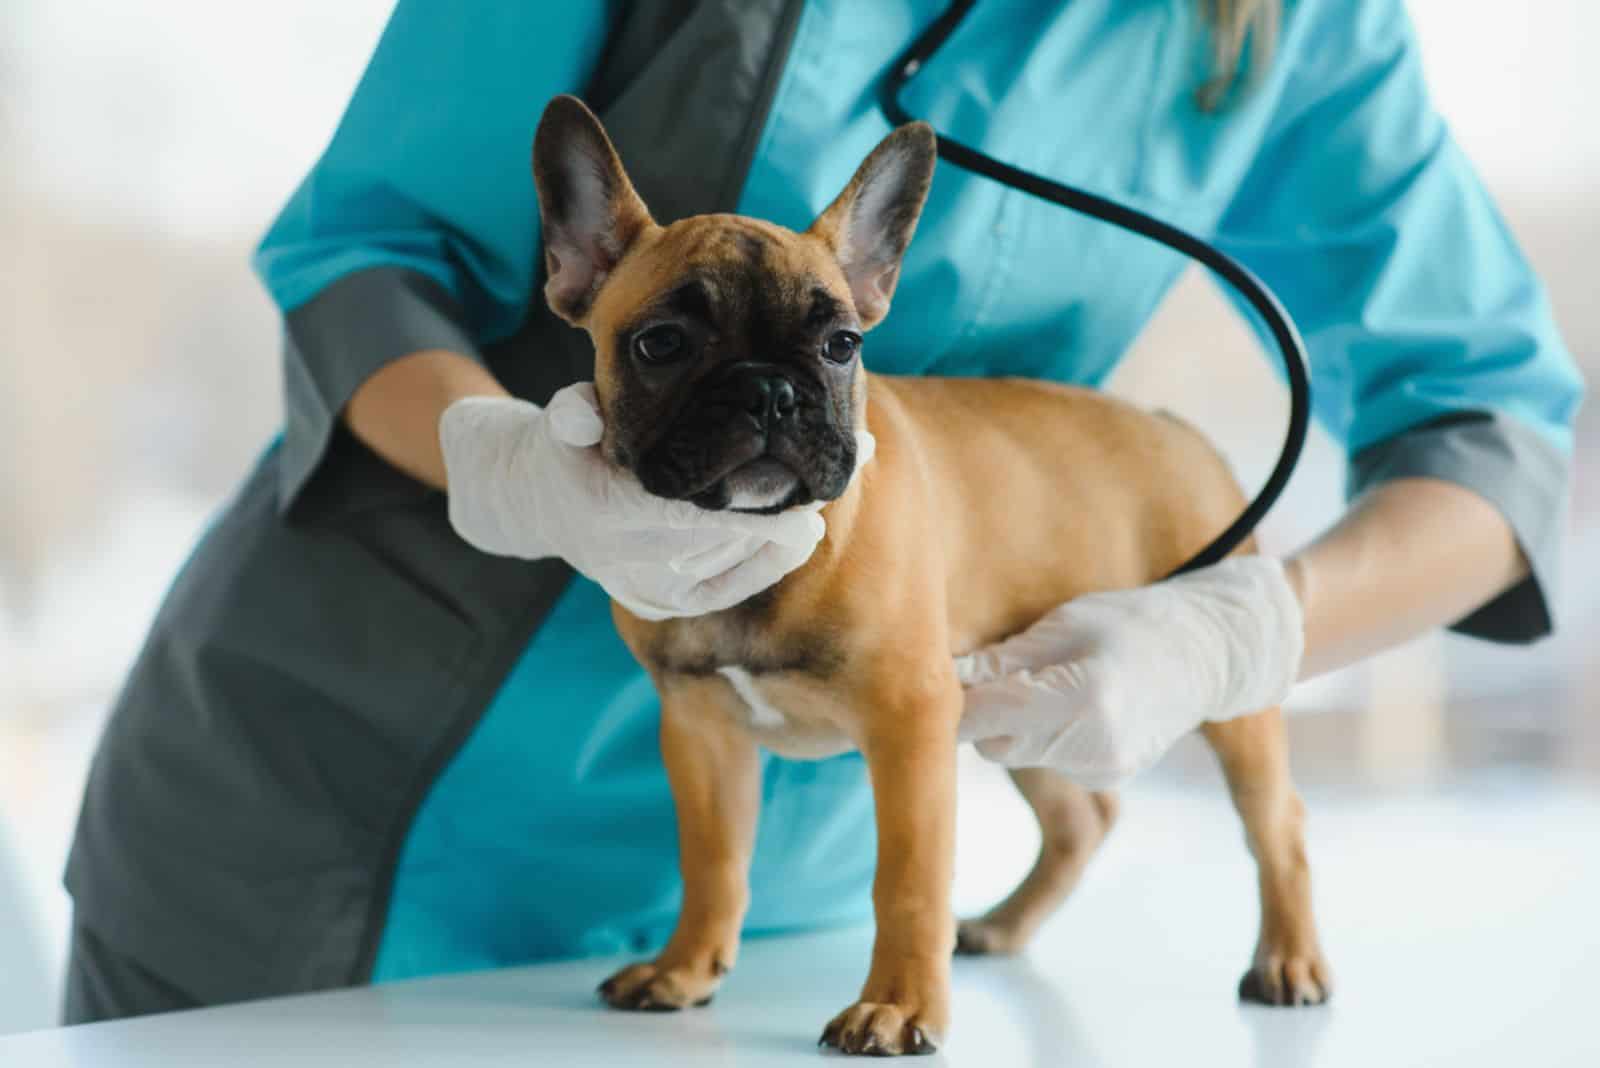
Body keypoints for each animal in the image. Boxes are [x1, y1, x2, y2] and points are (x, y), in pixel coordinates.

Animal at [528, 93, 1324, 1061]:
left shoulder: (909, 727)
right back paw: (1004, 928)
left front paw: (897, 1008)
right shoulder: (702, 732)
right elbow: (713, 862)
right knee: (1081, 818)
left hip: (1223, 697)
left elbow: (906, 880)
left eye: (841, 344)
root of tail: (1178, 429)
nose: (768, 390)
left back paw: (1288, 960)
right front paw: (684, 968)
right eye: (661, 343)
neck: (768, 543)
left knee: (1275, 824)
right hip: (1017, 701)